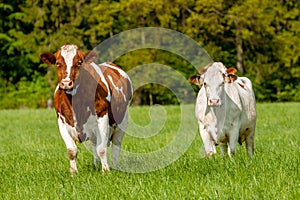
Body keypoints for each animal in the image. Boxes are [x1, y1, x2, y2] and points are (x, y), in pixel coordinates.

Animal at [40, 44, 132, 173]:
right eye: (58, 63)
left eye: (79, 62)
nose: (66, 83)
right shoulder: (61, 121)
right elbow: (72, 150)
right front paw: (73, 172)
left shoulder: (102, 116)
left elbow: (101, 148)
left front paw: (106, 171)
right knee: (94, 144)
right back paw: (96, 165)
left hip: (122, 122)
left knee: (116, 144)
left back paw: (115, 166)